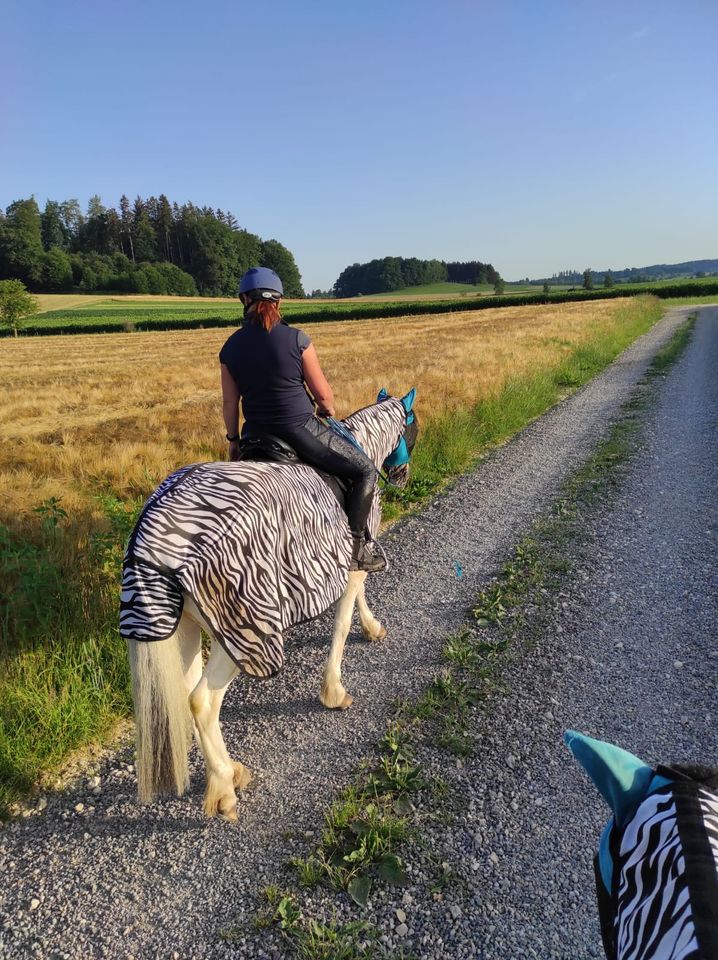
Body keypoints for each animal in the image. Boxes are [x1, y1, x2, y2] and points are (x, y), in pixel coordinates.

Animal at [121, 386, 420, 820]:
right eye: (414, 428)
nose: (403, 475)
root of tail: (151, 537)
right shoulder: (353, 560)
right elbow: (343, 620)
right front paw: (334, 690)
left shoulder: (347, 562)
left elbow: (356, 601)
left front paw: (371, 628)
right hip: (243, 631)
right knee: (202, 701)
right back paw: (223, 790)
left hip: (186, 627)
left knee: (190, 692)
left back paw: (229, 770)